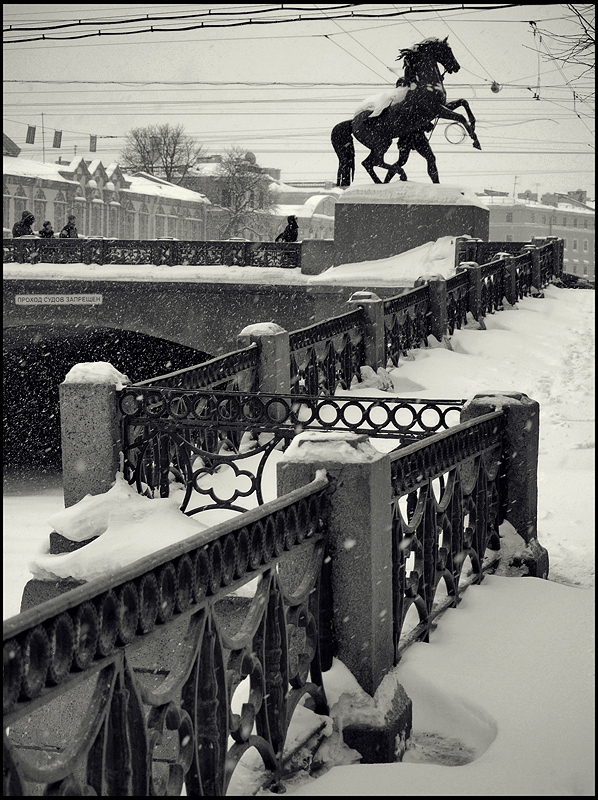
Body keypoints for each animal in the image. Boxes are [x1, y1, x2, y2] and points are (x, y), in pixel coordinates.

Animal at [332, 36, 482, 186]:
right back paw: (400, 174)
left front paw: (474, 125)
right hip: (381, 143)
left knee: (369, 163)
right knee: (376, 161)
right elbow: (460, 117)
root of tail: (352, 122)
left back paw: (382, 182)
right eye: (447, 49)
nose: (456, 66)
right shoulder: (437, 110)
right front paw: (475, 141)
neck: (427, 84)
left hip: (385, 144)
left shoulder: (442, 106)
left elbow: (463, 102)